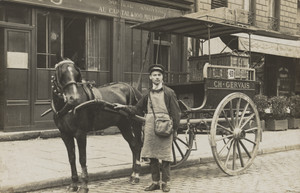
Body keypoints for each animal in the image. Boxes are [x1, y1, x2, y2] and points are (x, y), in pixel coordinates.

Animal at [50, 58, 143, 192]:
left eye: (76, 74)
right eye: (62, 74)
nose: (74, 98)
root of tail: (134, 89)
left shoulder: (80, 133)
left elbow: (82, 159)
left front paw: (84, 185)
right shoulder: (65, 134)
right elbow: (71, 158)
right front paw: (73, 184)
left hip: (135, 122)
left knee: (138, 145)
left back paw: (136, 174)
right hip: (124, 125)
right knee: (134, 145)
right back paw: (133, 174)